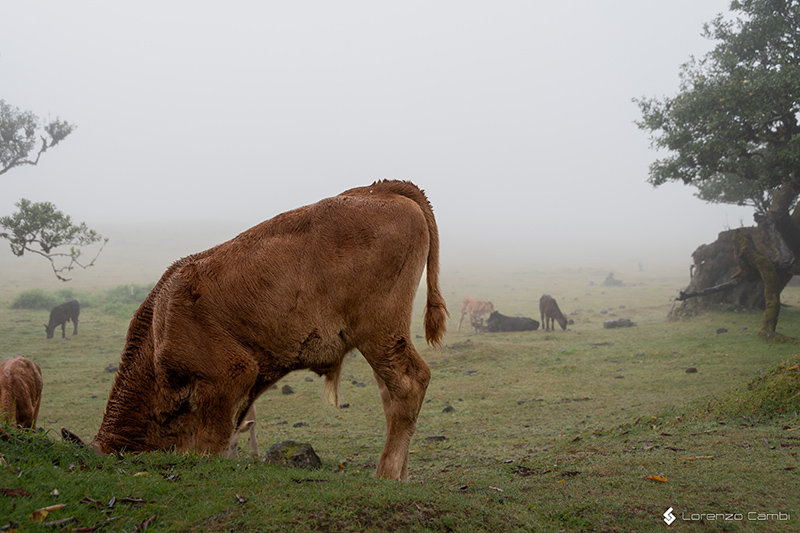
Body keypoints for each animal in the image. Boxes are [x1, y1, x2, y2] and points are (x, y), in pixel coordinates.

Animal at [69, 181, 446, 480]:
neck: (159, 324)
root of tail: (382, 189)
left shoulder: (229, 378)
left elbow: (211, 443)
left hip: (380, 333)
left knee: (410, 384)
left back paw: (386, 475)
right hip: (383, 341)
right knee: (391, 397)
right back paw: (401, 476)